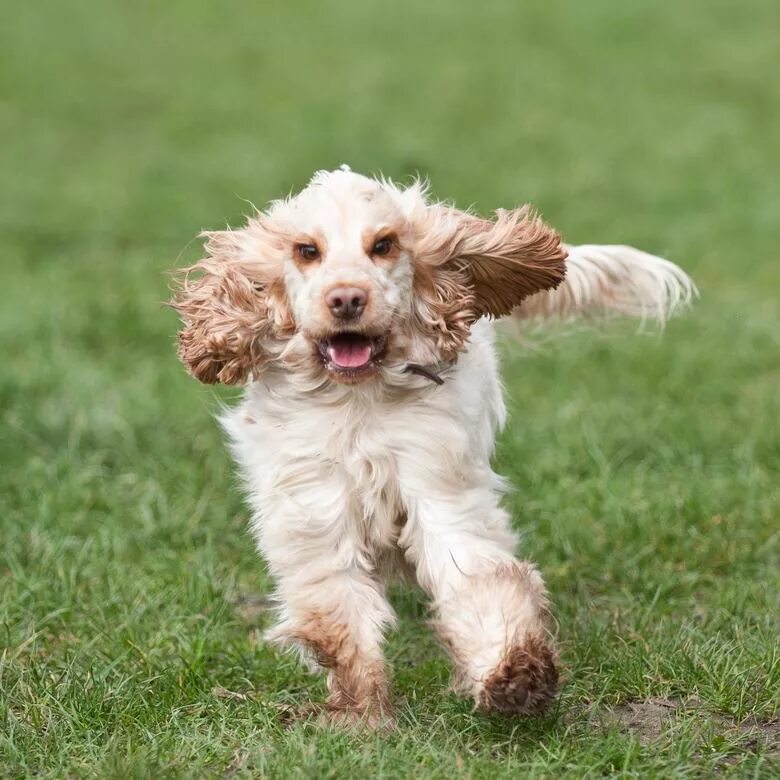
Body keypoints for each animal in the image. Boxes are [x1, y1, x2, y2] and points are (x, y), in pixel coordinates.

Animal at [172, 168, 696, 728]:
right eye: (306, 250)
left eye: (383, 245)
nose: (346, 299)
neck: (359, 400)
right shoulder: (315, 507)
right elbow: (338, 613)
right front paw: (363, 711)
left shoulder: (441, 488)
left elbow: (477, 577)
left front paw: (515, 676)